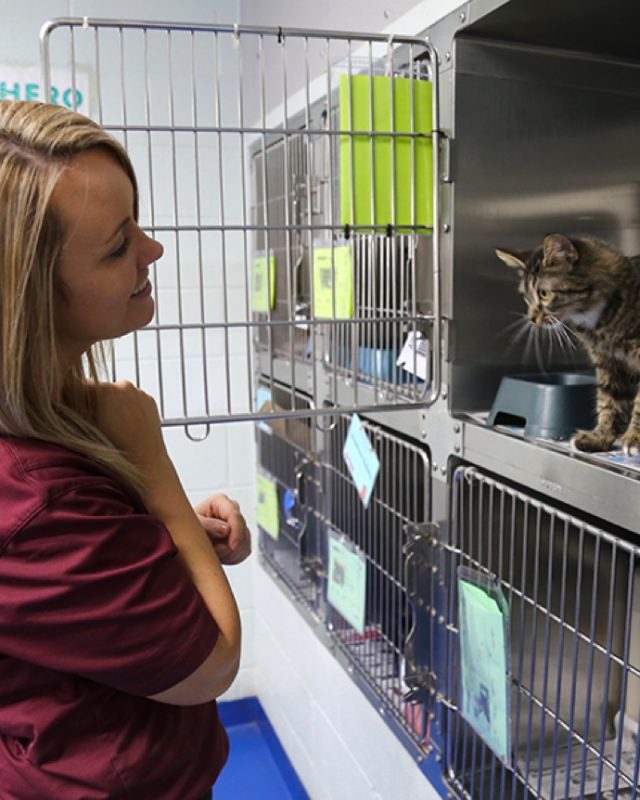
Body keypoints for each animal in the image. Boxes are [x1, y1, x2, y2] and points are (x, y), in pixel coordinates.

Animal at [498, 234, 640, 454]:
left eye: (544, 293)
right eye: (526, 296)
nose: (531, 319)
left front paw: (634, 439)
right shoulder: (609, 363)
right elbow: (609, 402)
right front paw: (599, 438)